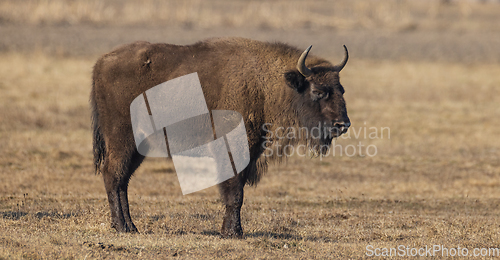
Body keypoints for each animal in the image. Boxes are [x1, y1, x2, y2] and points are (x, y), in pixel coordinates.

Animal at [90, 36, 350, 238]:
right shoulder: (233, 150)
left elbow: (237, 190)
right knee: (113, 175)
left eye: (341, 89)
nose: (343, 124)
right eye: (318, 91)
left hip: (138, 147)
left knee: (122, 180)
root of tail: (101, 63)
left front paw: (231, 230)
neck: (266, 85)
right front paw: (234, 232)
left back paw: (130, 227)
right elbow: (235, 193)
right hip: (123, 141)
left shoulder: (251, 153)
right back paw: (123, 227)